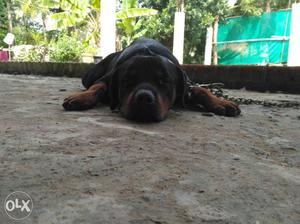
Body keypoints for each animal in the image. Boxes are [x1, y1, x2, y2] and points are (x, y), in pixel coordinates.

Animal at [62, 38, 240, 122]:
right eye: (127, 80)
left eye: (164, 81)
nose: (143, 98)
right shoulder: (106, 79)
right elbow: (98, 87)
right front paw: (81, 98)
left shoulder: (186, 85)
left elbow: (200, 89)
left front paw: (220, 102)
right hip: (90, 75)